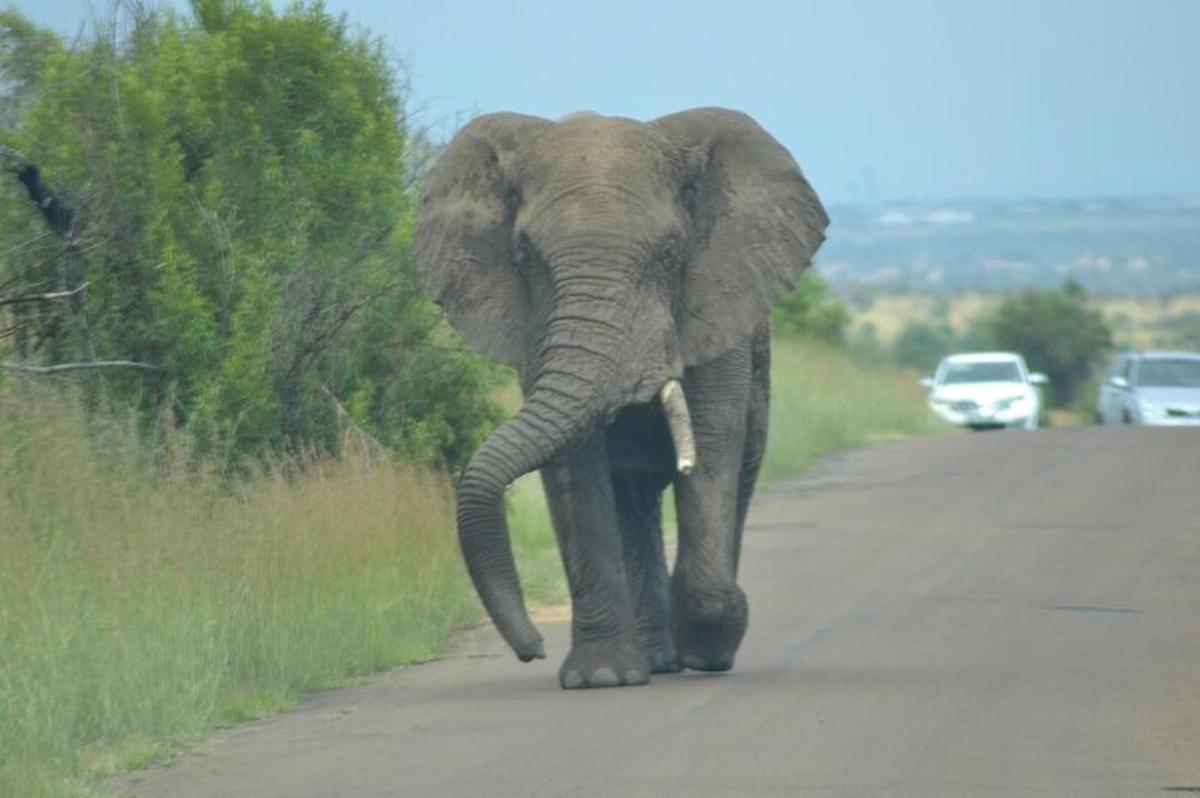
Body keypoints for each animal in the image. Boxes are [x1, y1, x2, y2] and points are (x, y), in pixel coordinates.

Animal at [415, 107, 825, 686]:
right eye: (526, 255)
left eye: (671, 252)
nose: (532, 648)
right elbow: (574, 469)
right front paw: (601, 678)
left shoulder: (717, 308)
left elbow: (711, 447)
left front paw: (711, 649)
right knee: (632, 499)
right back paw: (655, 660)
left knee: (738, 474)